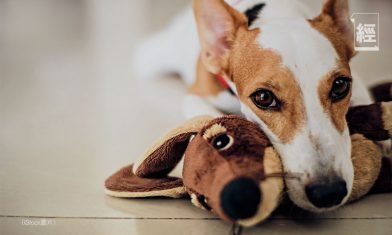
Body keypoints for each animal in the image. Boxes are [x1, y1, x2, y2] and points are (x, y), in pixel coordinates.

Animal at [132, 0, 388, 213]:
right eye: (263, 98)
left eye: (340, 86)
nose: (328, 191)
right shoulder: (197, 93)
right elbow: (207, 117)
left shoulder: (357, 82)